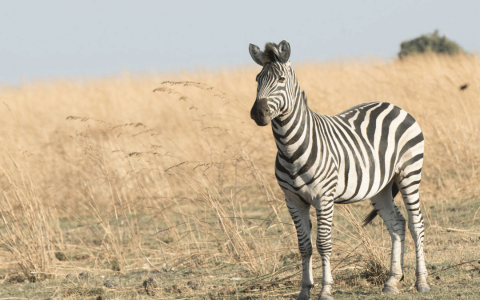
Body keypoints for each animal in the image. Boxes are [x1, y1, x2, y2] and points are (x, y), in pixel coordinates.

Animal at [249, 40, 430, 300]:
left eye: (281, 79)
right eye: (257, 79)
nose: (258, 113)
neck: (289, 147)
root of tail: (395, 106)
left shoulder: (323, 197)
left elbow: (324, 244)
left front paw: (325, 290)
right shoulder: (292, 200)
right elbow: (304, 246)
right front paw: (304, 290)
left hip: (409, 173)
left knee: (416, 224)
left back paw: (421, 282)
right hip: (381, 187)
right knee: (397, 223)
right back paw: (392, 281)